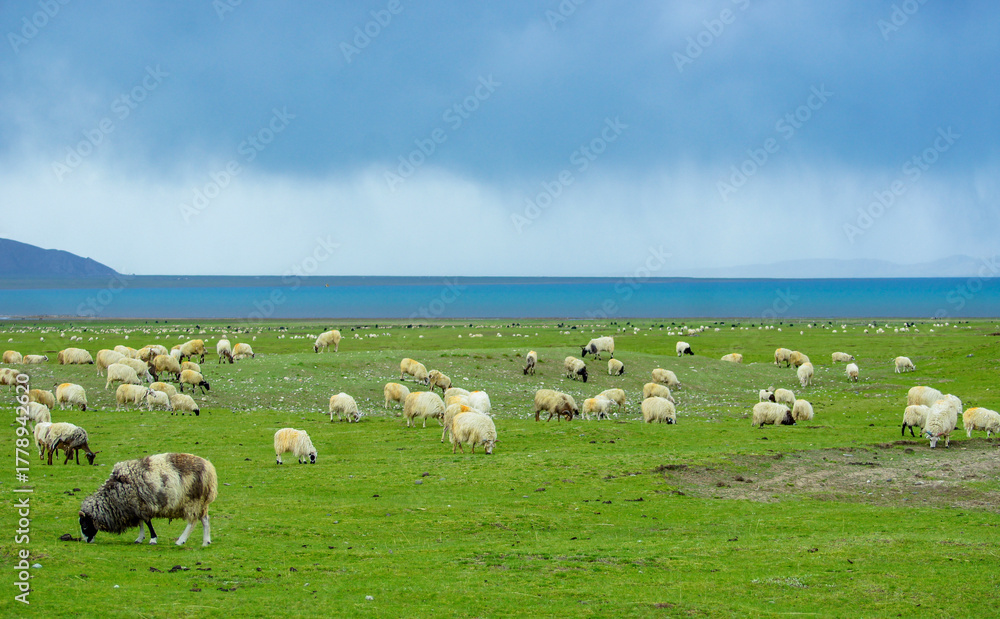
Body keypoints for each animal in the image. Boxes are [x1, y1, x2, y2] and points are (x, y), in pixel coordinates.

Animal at [79, 453, 217, 546]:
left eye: (84, 525)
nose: (86, 541)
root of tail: (209, 469)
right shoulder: (136, 505)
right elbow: (141, 522)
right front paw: (140, 538)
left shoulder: (142, 504)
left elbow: (147, 522)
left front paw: (153, 539)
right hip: (201, 502)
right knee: (205, 520)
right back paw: (206, 541)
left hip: (192, 500)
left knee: (192, 522)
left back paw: (181, 540)